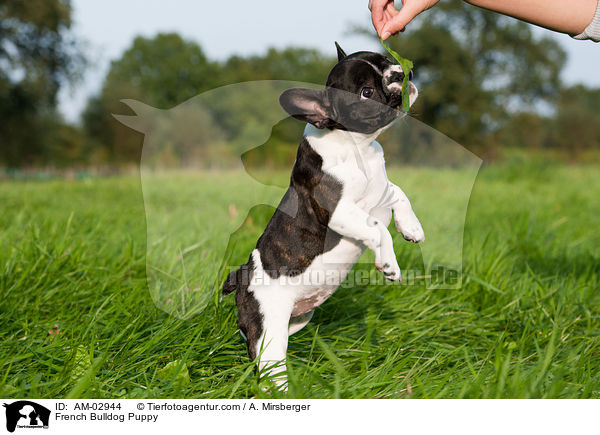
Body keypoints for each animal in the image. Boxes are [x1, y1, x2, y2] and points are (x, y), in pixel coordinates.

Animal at [223, 42, 424, 390]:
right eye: (366, 92)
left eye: (386, 59)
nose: (401, 73)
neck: (358, 146)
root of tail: (241, 277)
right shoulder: (339, 210)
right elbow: (376, 227)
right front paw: (389, 263)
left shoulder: (379, 190)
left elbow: (398, 192)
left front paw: (411, 226)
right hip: (270, 330)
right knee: (268, 365)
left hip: (298, 319)